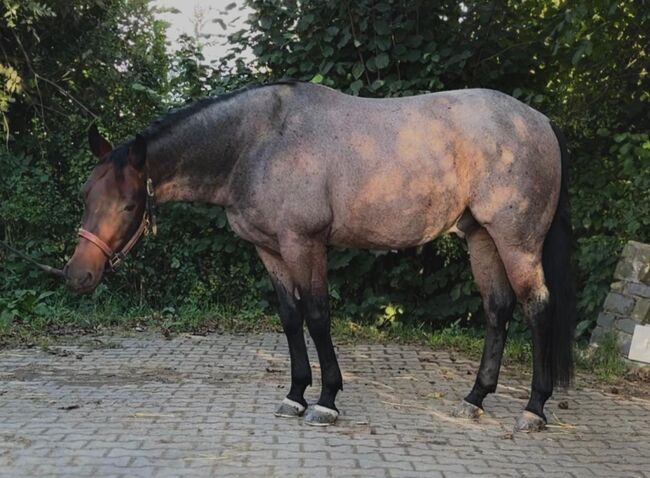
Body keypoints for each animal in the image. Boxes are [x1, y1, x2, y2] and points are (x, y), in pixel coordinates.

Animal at [64, 80, 572, 432]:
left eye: (129, 205)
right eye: (86, 194)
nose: (78, 275)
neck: (258, 143)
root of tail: (540, 121)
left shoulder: (303, 244)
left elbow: (318, 315)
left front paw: (326, 400)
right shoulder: (269, 249)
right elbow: (291, 318)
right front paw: (295, 395)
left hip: (517, 242)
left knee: (537, 308)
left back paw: (534, 408)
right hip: (481, 237)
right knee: (497, 309)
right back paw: (475, 398)